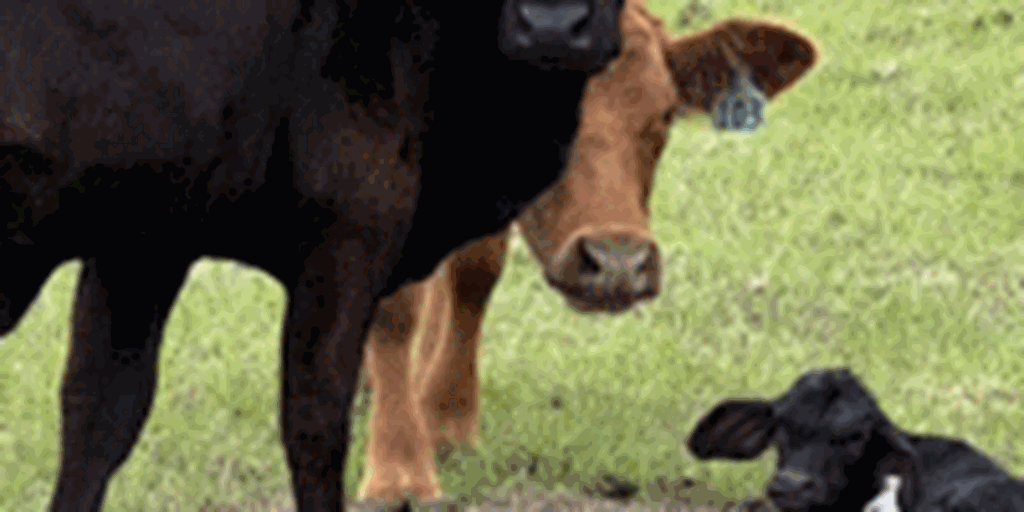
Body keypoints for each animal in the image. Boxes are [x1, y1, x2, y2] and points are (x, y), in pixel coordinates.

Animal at [355, 0, 820, 502]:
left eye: (665, 113)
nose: (618, 263)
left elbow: (474, 273)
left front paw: (445, 420)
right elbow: (397, 305)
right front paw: (399, 469)